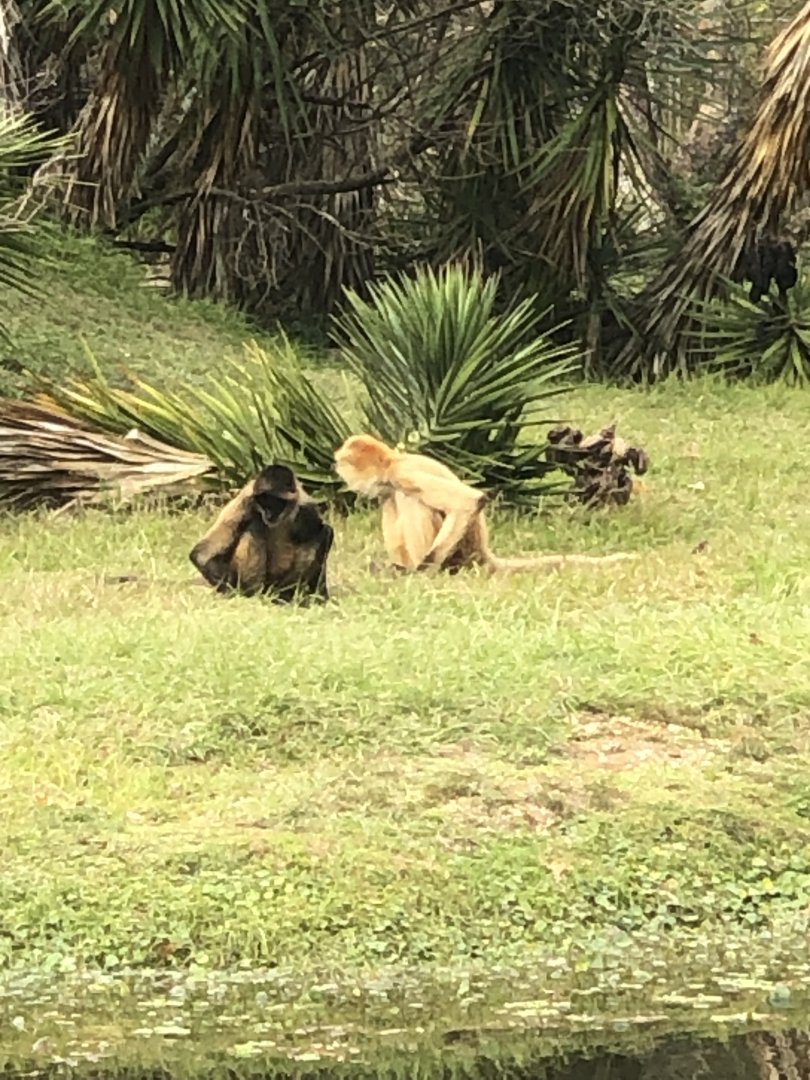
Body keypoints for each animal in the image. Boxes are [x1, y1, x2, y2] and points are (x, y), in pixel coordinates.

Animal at [188, 464, 334, 602]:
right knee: (256, 524)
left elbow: (323, 530)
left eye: (276, 502)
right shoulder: (246, 498)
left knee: (324, 532)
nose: (269, 514)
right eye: (264, 501)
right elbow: (201, 554)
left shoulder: (308, 507)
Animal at [333, 434, 637, 575]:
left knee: (408, 498)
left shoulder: (402, 473)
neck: (395, 460)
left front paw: (420, 572)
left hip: (459, 554)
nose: (337, 470)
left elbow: (468, 501)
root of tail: (481, 552)